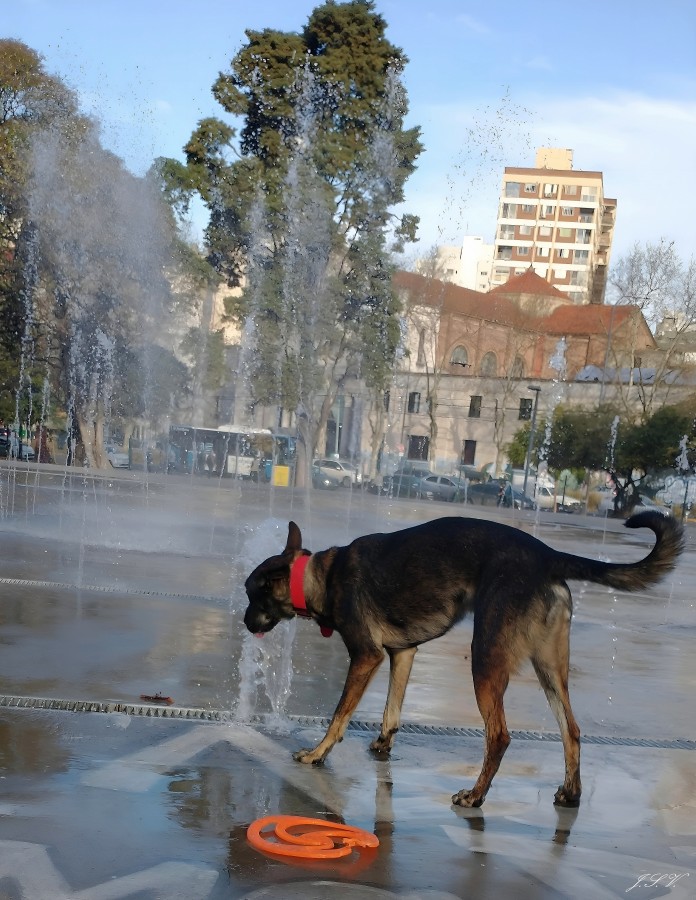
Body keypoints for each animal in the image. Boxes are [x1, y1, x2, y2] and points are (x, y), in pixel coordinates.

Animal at [242, 512, 684, 808]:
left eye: (251, 595)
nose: (244, 624)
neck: (318, 575)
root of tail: (547, 556)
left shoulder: (366, 657)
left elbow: (339, 715)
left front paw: (317, 754)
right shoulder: (403, 654)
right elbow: (391, 711)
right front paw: (383, 745)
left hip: (485, 662)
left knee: (500, 736)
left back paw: (476, 795)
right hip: (549, 670)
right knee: (571, 730)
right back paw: (571, 793)